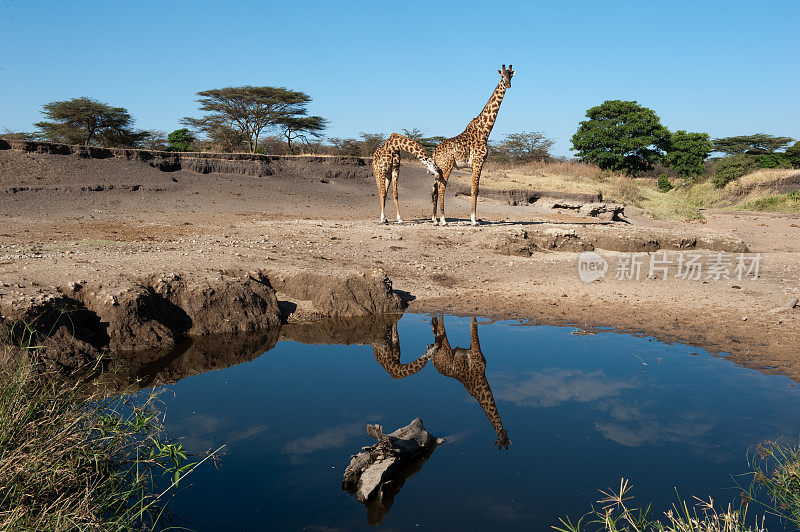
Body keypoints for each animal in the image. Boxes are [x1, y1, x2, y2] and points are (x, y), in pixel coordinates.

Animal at [428, 316, 510, 448]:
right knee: (441, 328)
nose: (504, 442)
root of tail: (434, 361)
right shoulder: (475, 349)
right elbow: (473, 326)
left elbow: (473, 325)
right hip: (446, 350)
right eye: (503, 440)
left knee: (437, 332)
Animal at [434, 65, 516, 227]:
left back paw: (434, 219)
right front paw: (474, 220)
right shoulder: (478, 162)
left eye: (511, 76)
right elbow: (475, 189)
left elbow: (475, 189)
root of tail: (434, 152)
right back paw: (443, 220)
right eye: (502, 76)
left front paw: (474, 218)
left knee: (434, 189)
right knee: (441, 188)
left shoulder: (477, 164)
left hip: (438, 168)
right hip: (447, 166)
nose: (508, 85)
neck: (485, 130)